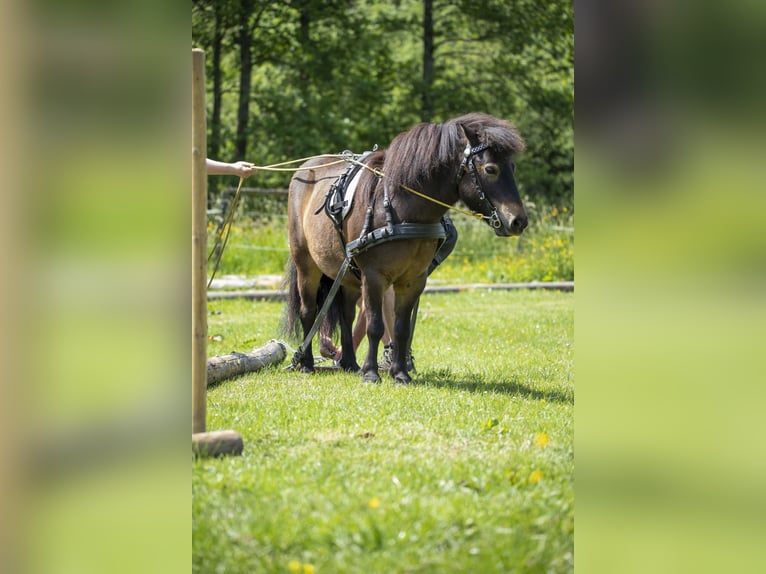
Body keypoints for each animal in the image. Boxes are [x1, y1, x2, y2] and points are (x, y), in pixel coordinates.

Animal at [284, 112, 532, 384]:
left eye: (512, 167)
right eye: (490, 169)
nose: (519, 221)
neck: (400, 207)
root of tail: (306, 170)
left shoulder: (413, 279)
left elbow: (401, 328)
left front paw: (400, 373)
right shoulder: (373, 277)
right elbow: (375, 325)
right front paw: (371, 373)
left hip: (347, 273)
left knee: (346, 314)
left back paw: (349, 363)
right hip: (307, 265)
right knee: (308, 311)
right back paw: (306, 363)